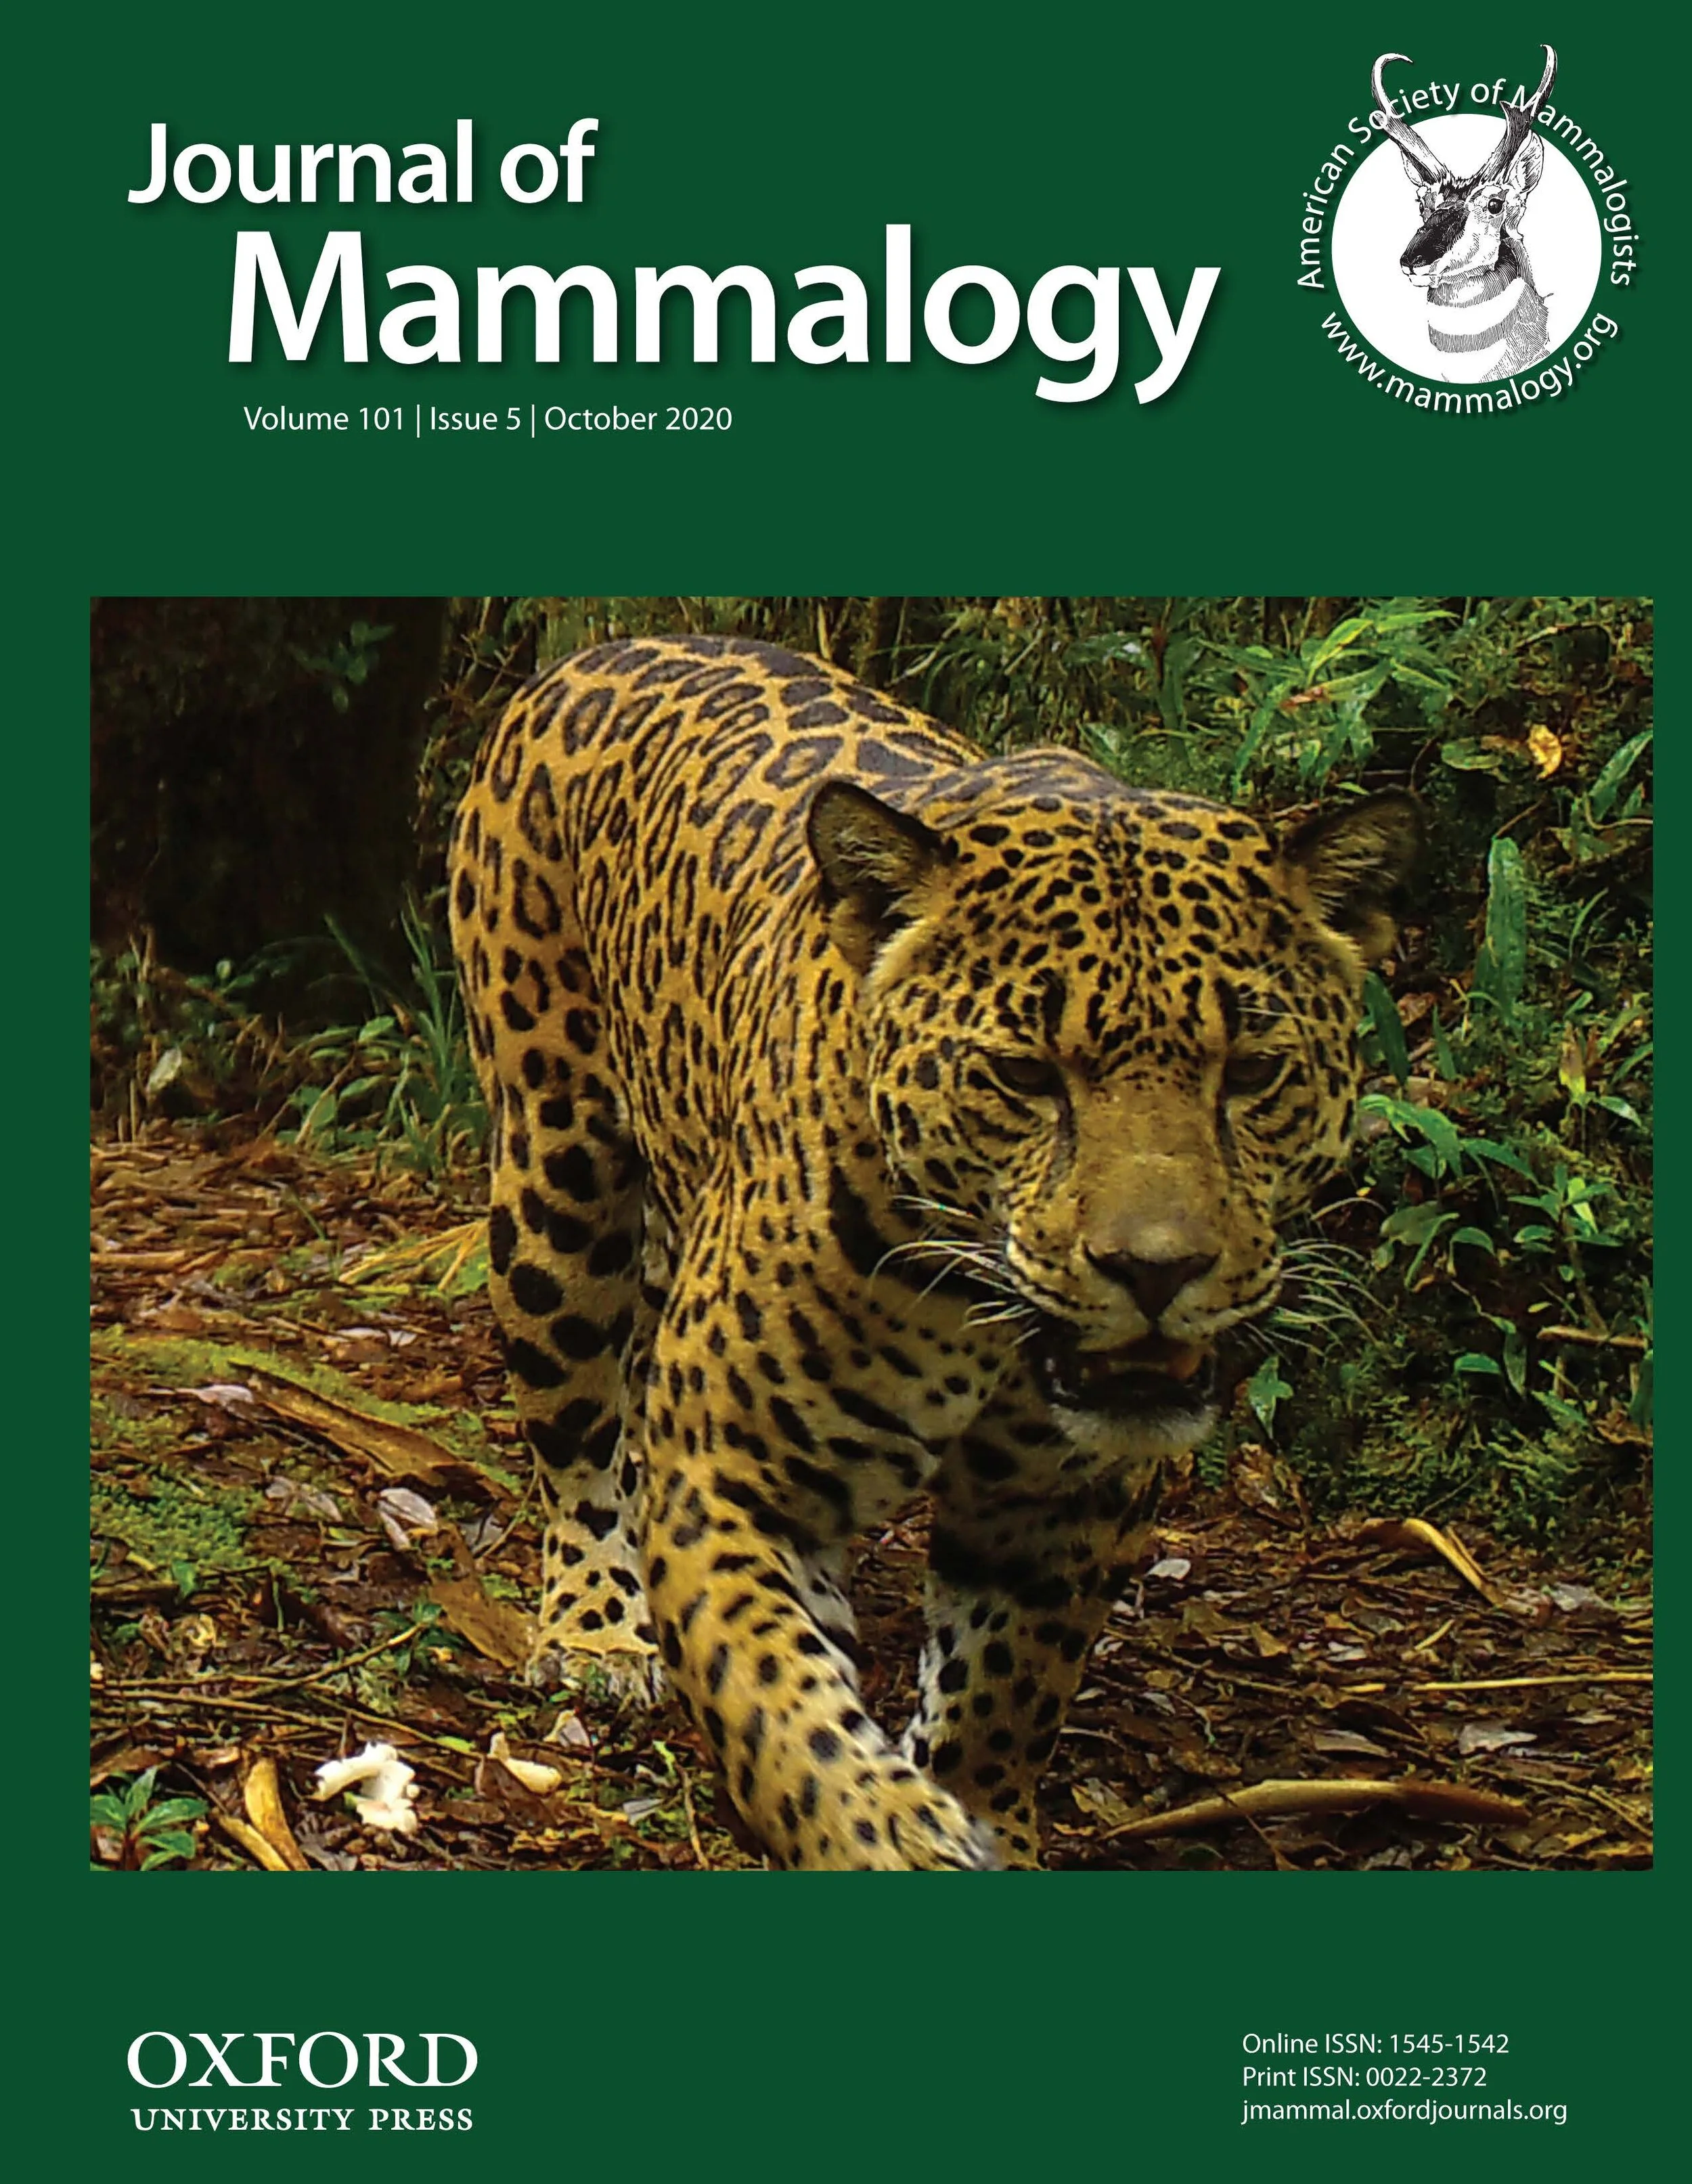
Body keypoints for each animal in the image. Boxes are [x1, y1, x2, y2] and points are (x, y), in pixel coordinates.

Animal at [449, 632, 1421, 1870]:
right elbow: (780, 1701)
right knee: (575, 1435)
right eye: (1024, 1074)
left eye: (1252, 1072)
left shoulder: (1061, 1508)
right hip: (554, 1177)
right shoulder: (728, 1470)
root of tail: (600, 650)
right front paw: (882, 1829)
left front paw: (982, 1810)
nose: (1156, 1272)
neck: (984, 1320)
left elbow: (1006, 1688)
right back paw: (596, 1634)